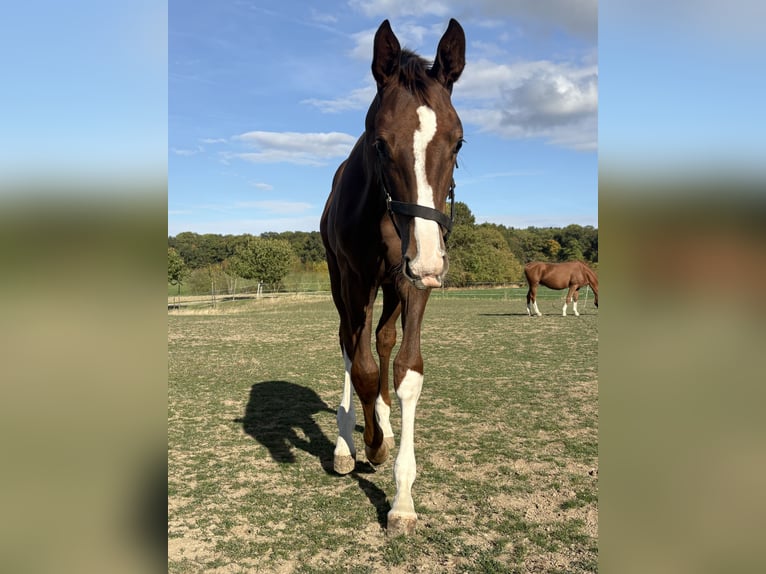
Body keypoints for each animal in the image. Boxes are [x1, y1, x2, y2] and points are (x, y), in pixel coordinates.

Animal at [320, 19, 465, 536]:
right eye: (380, 142)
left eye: (458, 142)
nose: (428, 259)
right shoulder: (357, 278)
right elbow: (361, 366)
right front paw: (373, 445)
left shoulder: (412, 285)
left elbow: (405, 369)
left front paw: (402, 500)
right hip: (342, 283)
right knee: (349, 344)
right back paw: (348, 442)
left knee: (381, 340)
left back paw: (378, 416)